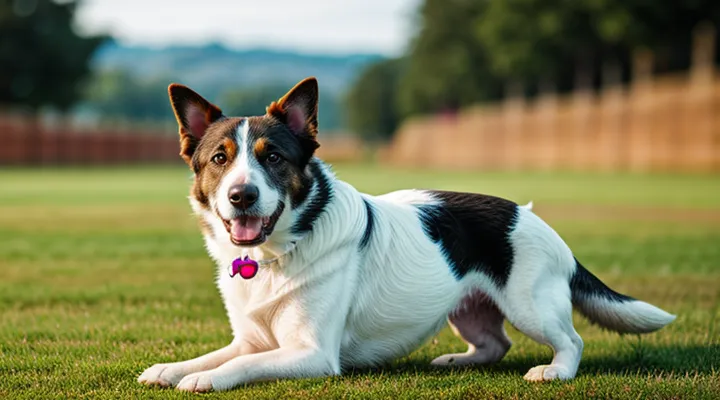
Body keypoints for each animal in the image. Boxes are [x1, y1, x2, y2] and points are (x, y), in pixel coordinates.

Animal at [138, 76, 676, 392]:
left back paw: (554, 370)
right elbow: (213, 355)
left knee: (572, 341)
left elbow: (235, 367)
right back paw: (458, 361)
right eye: (219, 159)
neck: (278, 251)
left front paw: (204, 379)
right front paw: (172, 368)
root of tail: (532, 218)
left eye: (273, 157)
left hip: (531, 305)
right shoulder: (252, 341)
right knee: (494, 344)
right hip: (467, 310)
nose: (241, 196)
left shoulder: (311, 353)